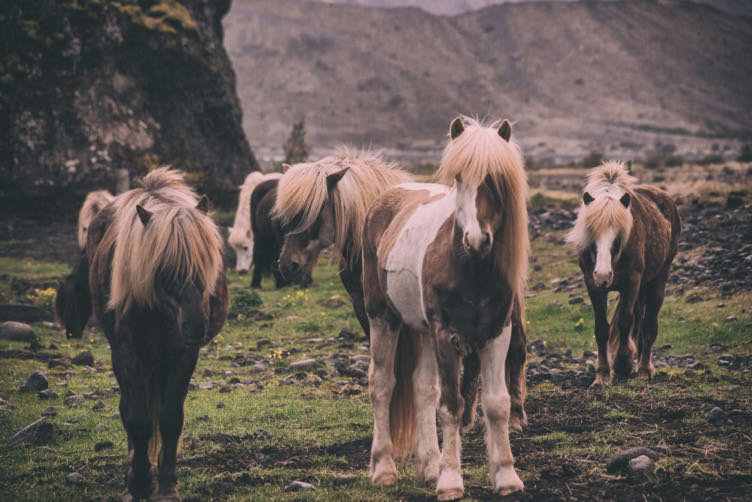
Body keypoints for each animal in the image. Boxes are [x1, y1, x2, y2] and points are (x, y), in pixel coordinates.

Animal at [56, 168, 228, 501]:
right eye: (165, 268)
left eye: (206, 263)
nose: (195, 325)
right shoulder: (129, 355)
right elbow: (137, 420)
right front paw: (138, 483)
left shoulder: (183, 356)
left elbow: (170, 419)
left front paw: (167, 485)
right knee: (130, 411)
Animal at [361, 117, 529, 499]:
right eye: (459, 177)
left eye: (496, 178)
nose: (477, 241)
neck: (469, 267)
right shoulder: (446, 334)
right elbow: (452, 405)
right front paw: (451, 481)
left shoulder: (497, 332)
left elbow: (497, 404)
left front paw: (506, 476)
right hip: (384, 319)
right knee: (382, 384)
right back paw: (384, 469)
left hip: (422, 330)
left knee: (423, 388)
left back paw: (428, 468)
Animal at [566, 161, 680, 385]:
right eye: (591, 234)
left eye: (618, 236)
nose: (603, 276)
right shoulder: (592, 284)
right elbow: (601, 328)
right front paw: (602, 375)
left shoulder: (631, 282)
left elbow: (625, 322)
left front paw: (623, 364)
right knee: (640, 319)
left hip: (658, 278)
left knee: (649, 323)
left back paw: (644, 368)